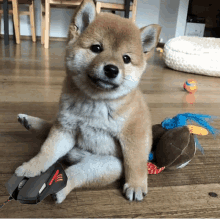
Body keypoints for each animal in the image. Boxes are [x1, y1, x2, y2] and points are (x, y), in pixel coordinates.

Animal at [14, 0, 161, 203]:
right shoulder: (65, 129)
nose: (112, 69)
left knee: (74, 175)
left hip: (106, 165)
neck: (95, 100)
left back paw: (60, 190)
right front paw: (31, 167)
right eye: (96, 48)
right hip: (64, 128)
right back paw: (29, 121)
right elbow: (47, 151)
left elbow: (135, 161)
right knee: (50, 129)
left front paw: (136, 185)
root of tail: (78, 154)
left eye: (126, 59)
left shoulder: (135, 133)